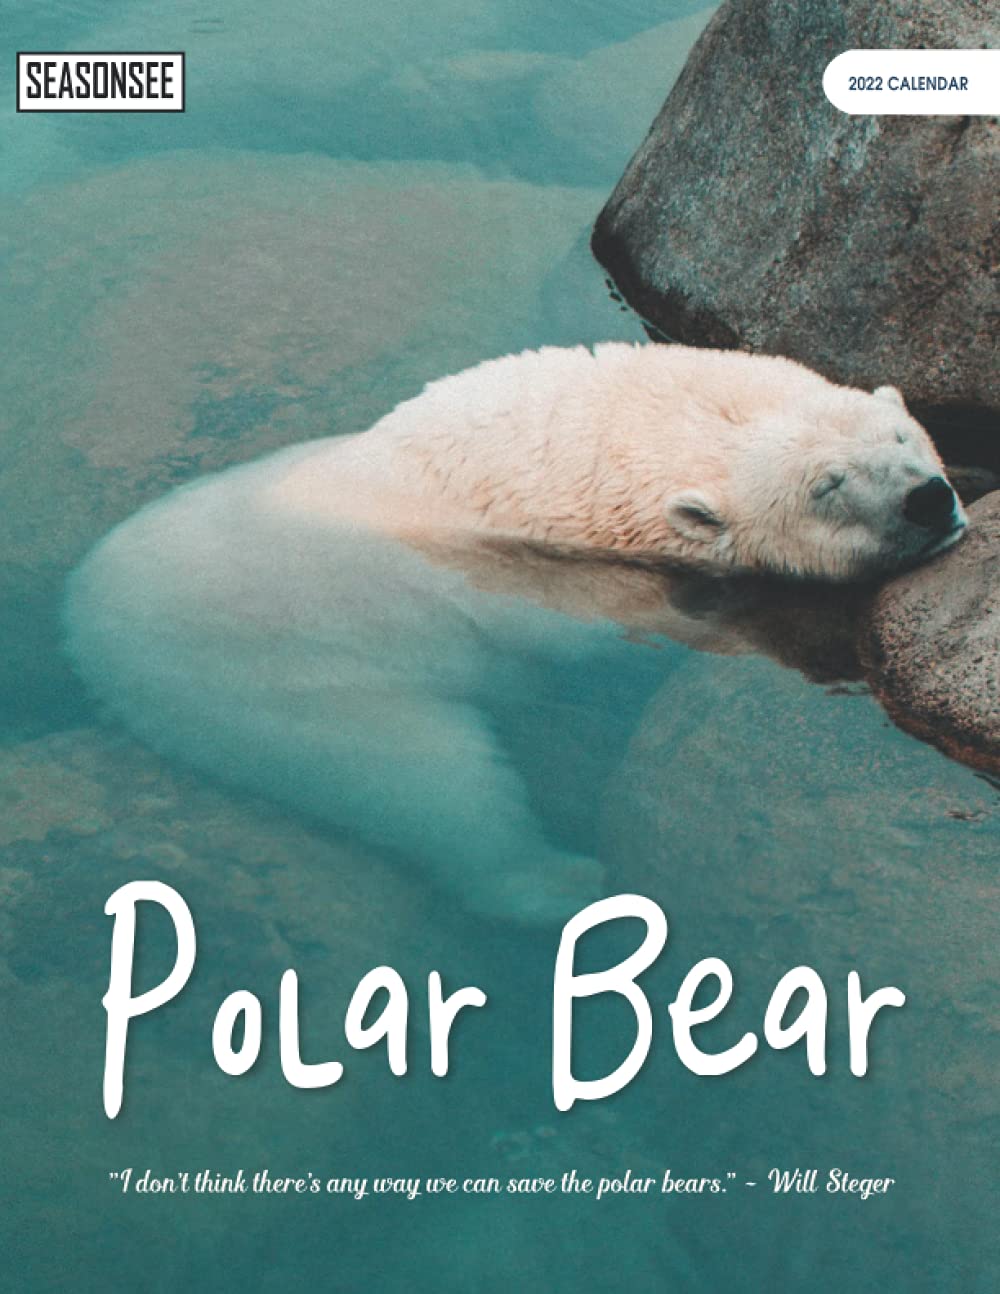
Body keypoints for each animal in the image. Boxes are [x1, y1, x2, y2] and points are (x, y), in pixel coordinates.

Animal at [65, 343, 966, 924]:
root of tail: (86, 635)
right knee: (416, 775)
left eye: (900, 437)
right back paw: (559, 884)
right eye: (827, 485)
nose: (929, 500)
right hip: (268, 674)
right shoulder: (553, 575)